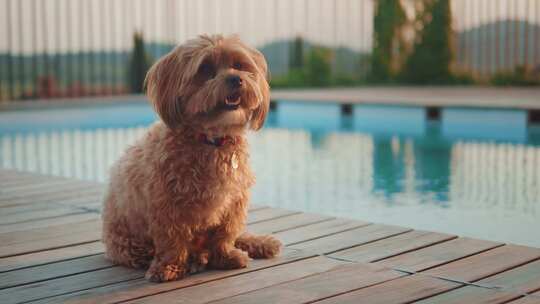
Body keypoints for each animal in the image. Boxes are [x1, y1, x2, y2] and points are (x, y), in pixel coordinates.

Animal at [103, 35, 284, 282]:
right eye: (205, 69)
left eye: (239, 65)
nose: (236, 79)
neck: (211, 140)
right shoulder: (168, 206)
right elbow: (172, 241)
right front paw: (168, 267)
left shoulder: (234, 202)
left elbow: (225, 234)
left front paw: (226, 256)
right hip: (128, 243)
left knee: (237, 236)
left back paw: (259, 243)